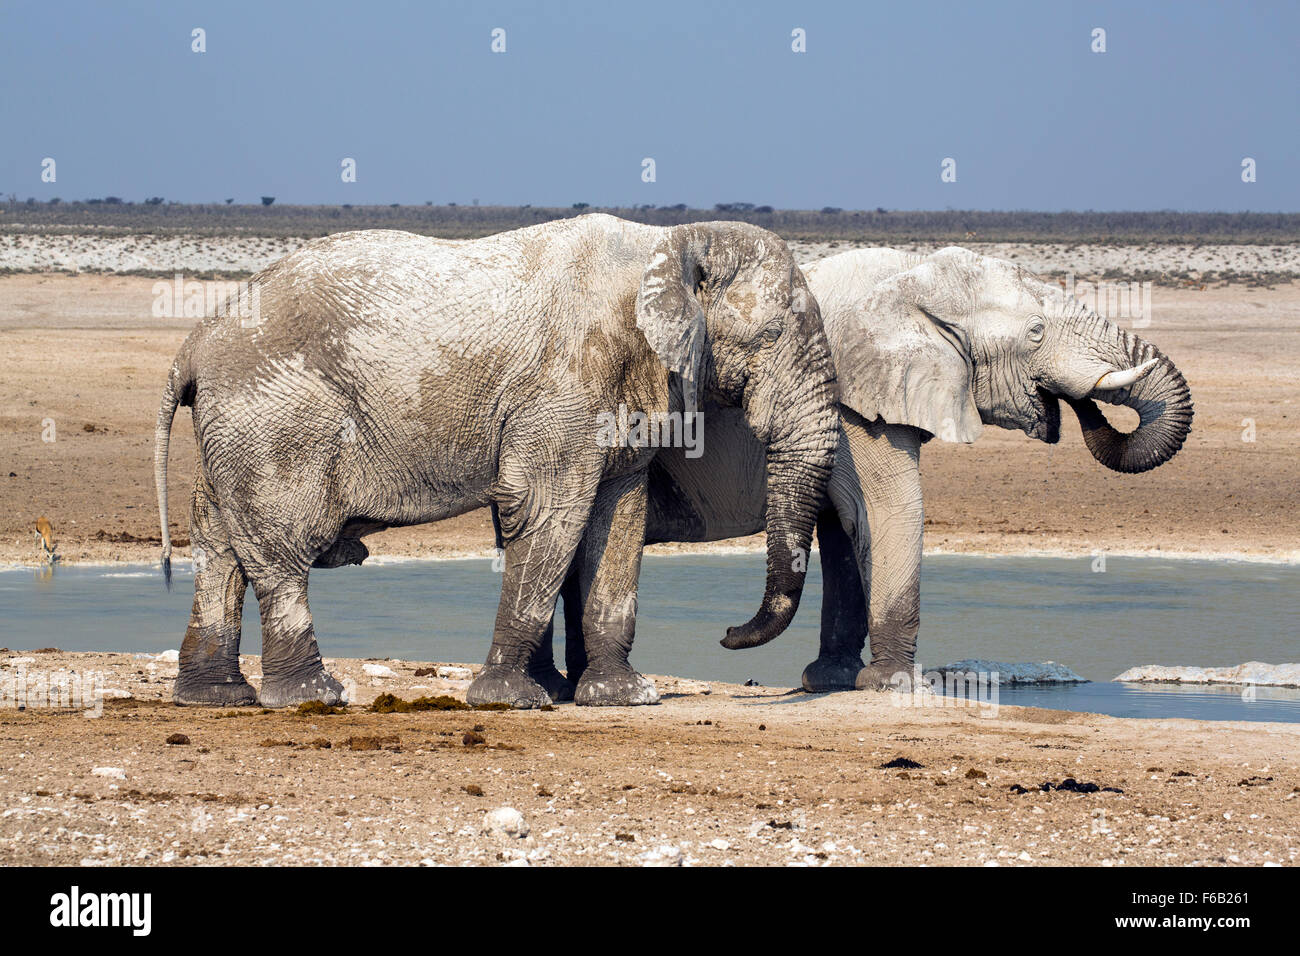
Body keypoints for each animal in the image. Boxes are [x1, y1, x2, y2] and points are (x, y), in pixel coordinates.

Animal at [154, 217, 842, 712]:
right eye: (776, 334)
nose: (726, 635)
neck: (670, 244)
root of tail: (193, 344)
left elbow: (619, 520)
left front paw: (623, 697)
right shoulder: (566, 386)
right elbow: (547, 511)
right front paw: (511, 701)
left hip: (235, 423)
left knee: (218, 546)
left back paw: (215, 699)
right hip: (273, 417)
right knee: (282, 547)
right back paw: (312, 698)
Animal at [535, 247, 1190, 697]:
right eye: (1035, 333)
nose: (1074, 406)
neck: (912, 278)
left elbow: (845, 536)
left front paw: (831, 680)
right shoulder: (857, 410)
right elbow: (889, 509)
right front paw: (896, 686)